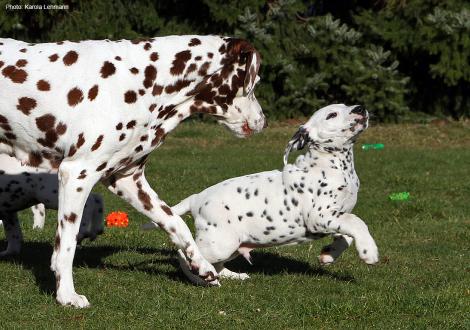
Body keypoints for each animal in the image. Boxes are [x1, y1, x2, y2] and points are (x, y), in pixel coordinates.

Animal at [0, 34, 264, 306]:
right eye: (255, 83)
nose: (262, 121)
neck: (144, 80)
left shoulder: (128, 179)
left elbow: (176, 222)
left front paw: (201, 266)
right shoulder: (76, 174)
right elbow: (66, 245)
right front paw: (66, 295)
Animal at [145, 104, 380, 284]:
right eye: (332, 115)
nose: (360, 108)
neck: (336, 166)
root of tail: (197, 198)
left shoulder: (338, 215)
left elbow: (346, 234)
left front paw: (329, 254)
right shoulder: (320, 216)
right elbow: (358, 222)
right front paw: (369, 251)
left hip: (232, 244)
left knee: (210, 262)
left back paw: (233, 276)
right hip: (220, 243)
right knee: (186, 254)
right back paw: (202, 278)